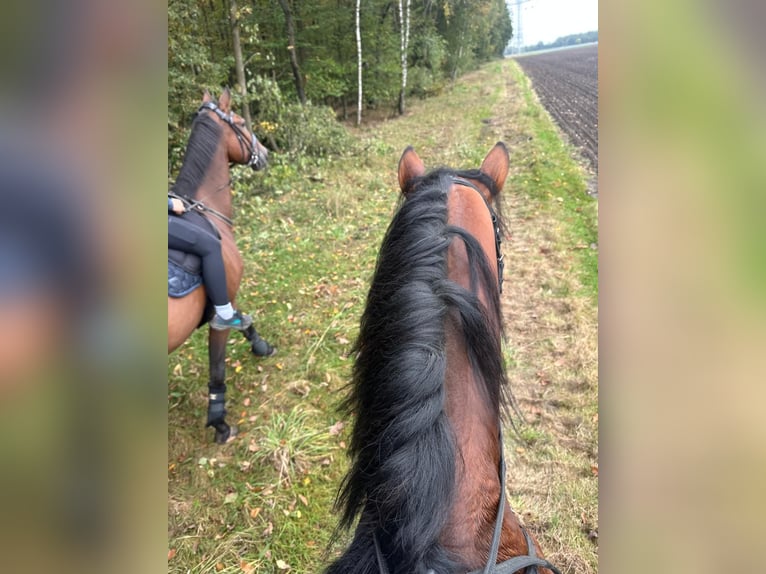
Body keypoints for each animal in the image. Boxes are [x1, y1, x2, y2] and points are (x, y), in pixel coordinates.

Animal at [168, 89, 274, 444]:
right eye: (239, 122)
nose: (264, 153)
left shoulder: (225, 292)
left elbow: (245, 319)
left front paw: (261, 345)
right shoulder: (219, 307)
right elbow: (217, 366)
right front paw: (219, 421)